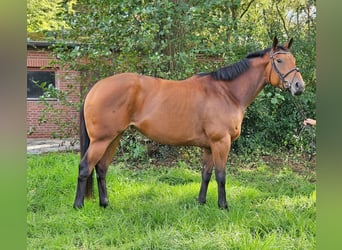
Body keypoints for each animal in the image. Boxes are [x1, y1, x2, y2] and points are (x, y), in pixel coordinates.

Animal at [73, 36, 304, 209]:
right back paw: (78, 205)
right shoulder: (221, 142)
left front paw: (201, 202)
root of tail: (96, 88)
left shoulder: (209, 146)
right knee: (85, 166)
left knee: (101, 168)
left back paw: (105, 204)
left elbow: (206, 174)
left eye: (293, 59)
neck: (226, 92)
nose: (299, 86)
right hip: (101, 140)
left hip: (114, 138)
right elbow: (221, 175)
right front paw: (223, 206)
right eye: (279, 61)